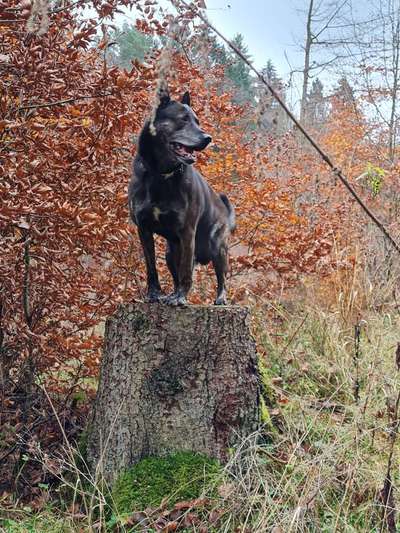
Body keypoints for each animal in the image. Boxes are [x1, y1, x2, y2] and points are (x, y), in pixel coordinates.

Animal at [127, 85, 234, 306]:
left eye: (197, 121)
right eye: (183, 119)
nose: (207, 138)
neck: (161, 174)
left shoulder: (187, 232)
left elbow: (185, 270)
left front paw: (181, 298)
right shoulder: (143, 229)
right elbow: (151, 267)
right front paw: (154, 294)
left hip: (218, 247)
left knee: (221, 276)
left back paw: (220, 297)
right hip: (170, 252)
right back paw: (171, 294)